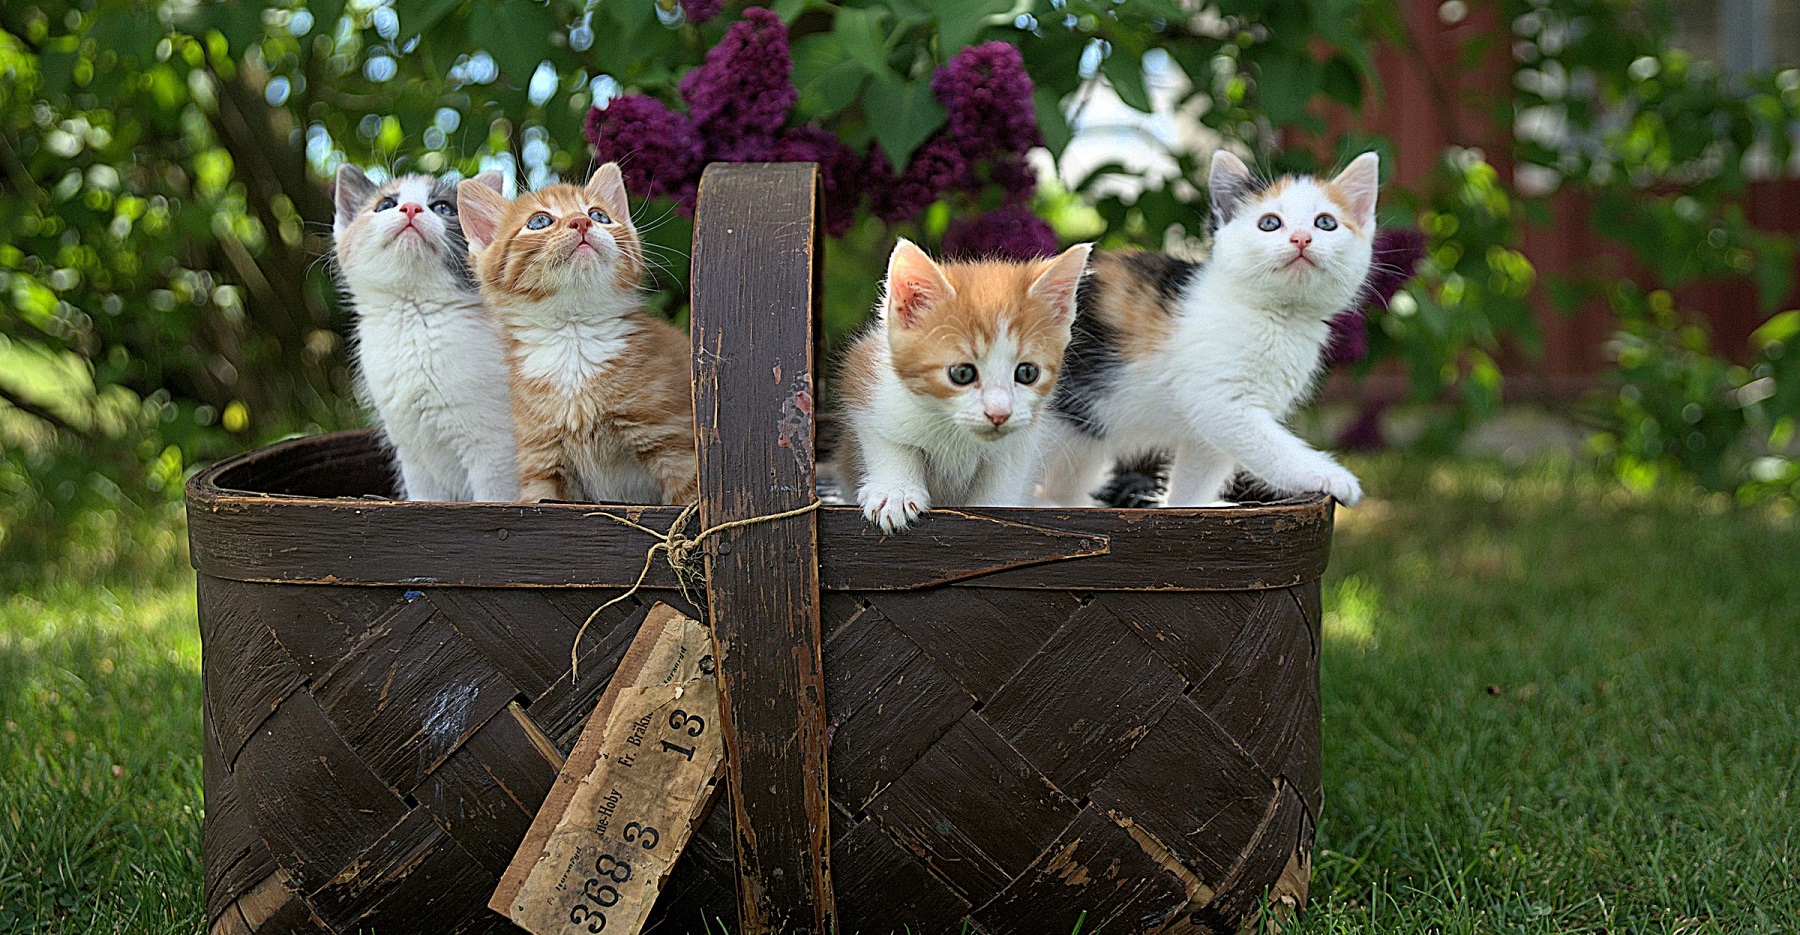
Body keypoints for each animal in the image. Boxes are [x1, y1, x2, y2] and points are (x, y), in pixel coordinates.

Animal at [331, 168, 522, 504]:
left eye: (443, 208)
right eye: (385, 205)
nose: (411, 208)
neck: (415, 319)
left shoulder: (495, 450)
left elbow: (494, 498)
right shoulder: (413, 456)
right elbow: (423, 499)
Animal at [457, 164, 694, 508]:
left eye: (599, 215)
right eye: (539, 221)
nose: (581, 221)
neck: (574, 337)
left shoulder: (674, 445)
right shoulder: (542, 461)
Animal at [835, 239, 1087, 533]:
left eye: (1027, 372)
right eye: (962, 373)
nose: (999, 414)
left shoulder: (1023, 438)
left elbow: (1005, 478)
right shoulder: (866, 378)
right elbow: (888, 440)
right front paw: (895, 492)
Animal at [1044, 150, 1375, 508]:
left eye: (1325, 223)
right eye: (1269, 223)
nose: (1301, 238)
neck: (1277, 317)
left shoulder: (1209, 431)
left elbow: (1196, 479)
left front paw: (1184, 508)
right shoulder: (1220, 402)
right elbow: (1273, 448)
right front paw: (1331, 476)